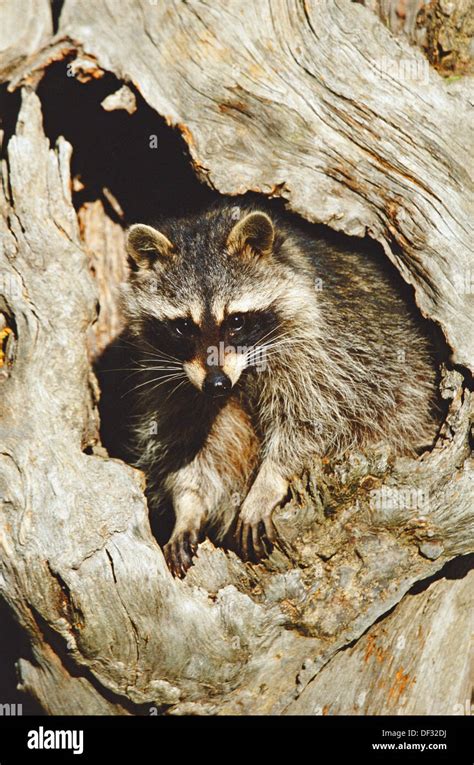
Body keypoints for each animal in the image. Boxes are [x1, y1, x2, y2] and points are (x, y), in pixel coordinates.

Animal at [122, 201, 440, 572]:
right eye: (184, 327)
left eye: (236, 321)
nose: (216, 384)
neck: (241, 375)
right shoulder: (174, 384)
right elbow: (188, 448)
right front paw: (187, 508)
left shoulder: (323, 354)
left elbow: (310, 423)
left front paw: (267, 484)